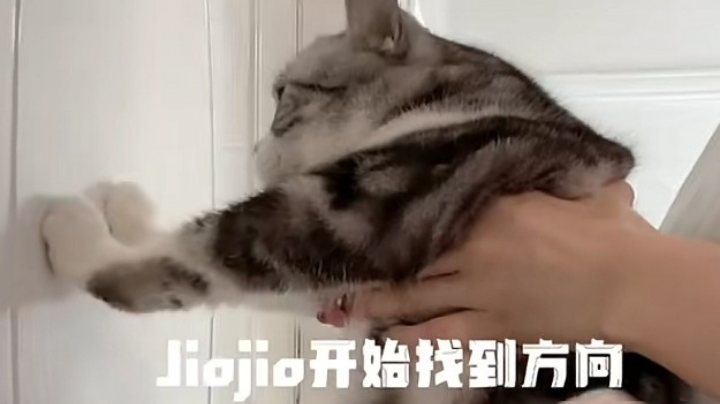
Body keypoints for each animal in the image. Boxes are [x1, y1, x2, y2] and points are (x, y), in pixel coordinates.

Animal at [40, 0, 688, 403]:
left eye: (282, 95)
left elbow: (207, 250)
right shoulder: (348, 291)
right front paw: (128, 214)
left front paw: (78, 236)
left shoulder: (369, 214)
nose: (253, 147)